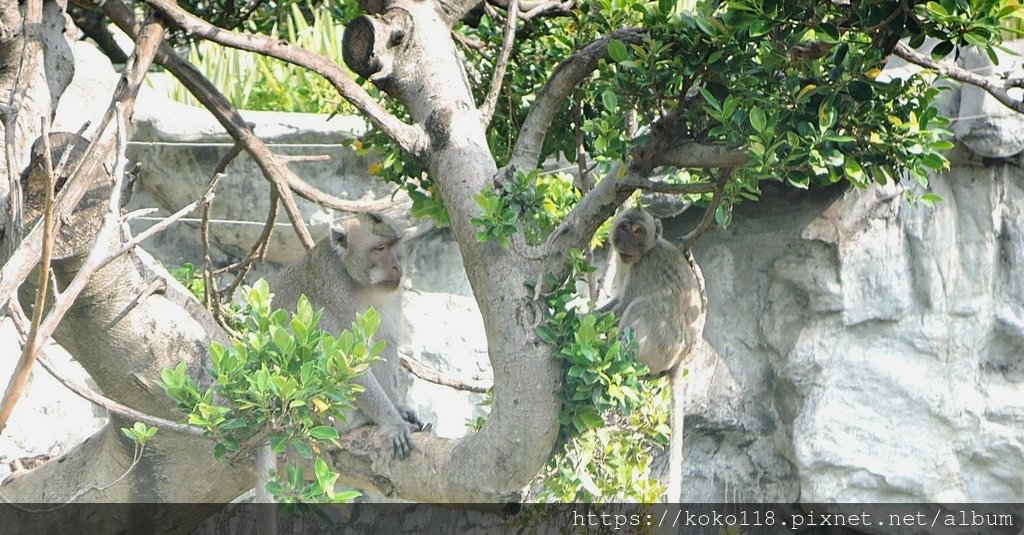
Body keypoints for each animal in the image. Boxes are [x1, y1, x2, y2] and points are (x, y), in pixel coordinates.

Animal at [272, 209, 423, 457]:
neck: (357, 280)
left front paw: (398, 407)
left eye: (394, 245)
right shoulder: (337, 292)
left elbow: (384, 344)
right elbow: (348, 359)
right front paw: (393, 422)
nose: (396, 267)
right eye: (380, 248)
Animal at [598, 206, 708, 502]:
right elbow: (615, 304)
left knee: (641, 307)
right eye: (624, 228)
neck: (646, 251)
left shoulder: (642, 269)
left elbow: (620, 309)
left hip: (662, 346)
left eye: (639, 232)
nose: (625, 243)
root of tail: (679, 361)